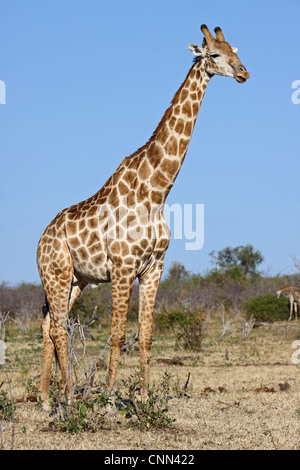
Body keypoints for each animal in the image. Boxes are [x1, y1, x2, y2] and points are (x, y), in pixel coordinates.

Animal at [36, 24, 250, 412]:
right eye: (214, 54)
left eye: (235, 51)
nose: (244, 73)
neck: (157, 192)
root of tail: (41, 238)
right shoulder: (122, 268)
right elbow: (118, 334)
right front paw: (108, 399)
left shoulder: (154, 267)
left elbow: (146, 334)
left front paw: (146, 398)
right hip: (55, 273)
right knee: (59, 326)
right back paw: (69, 397)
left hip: (76, 280)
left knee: (48, 323)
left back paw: (46, 399)